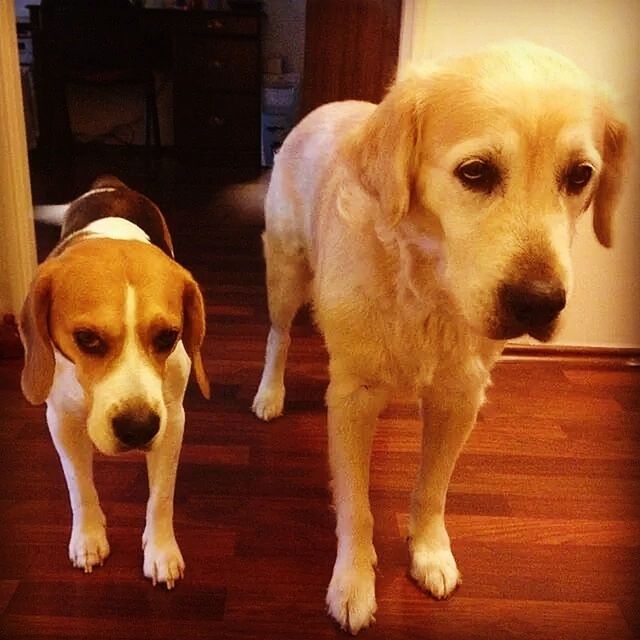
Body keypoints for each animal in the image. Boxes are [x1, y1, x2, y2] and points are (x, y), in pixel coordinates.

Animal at [20, 176, 209, 592]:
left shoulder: (172, 421)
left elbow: (161, 496)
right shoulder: (61, 421)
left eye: (168, 337)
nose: (138, 428)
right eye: (87, 339)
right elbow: (79, 486)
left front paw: (160, 550)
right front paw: (89, 537)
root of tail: (112, 184)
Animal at [251, 42, 632, 632]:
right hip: (286, 273)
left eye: (579, 175)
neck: (427, 287)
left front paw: (430, 554)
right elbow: (356, 506)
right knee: (279, 336)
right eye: (475, 172)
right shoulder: (354, 397)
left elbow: (432, 490)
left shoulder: (460, 397)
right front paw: (353, 582)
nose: (540, 302)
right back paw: (270, 394)